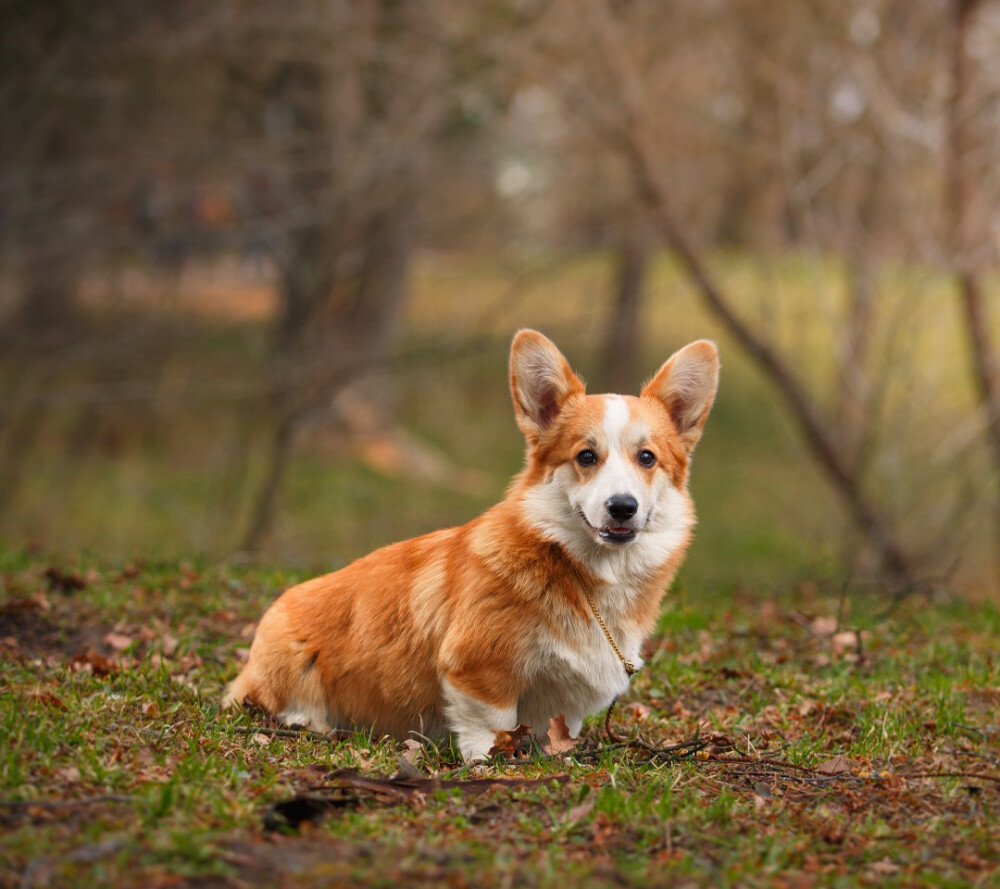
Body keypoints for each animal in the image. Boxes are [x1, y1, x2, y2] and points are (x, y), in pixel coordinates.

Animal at [225, 330, 720, 760]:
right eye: (586, 456)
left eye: (647, 458)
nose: (622, 507)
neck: (582, 571)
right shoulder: (477, 667)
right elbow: (490, 721)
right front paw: (489, 760)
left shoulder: (565, 696)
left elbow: (557, 725)